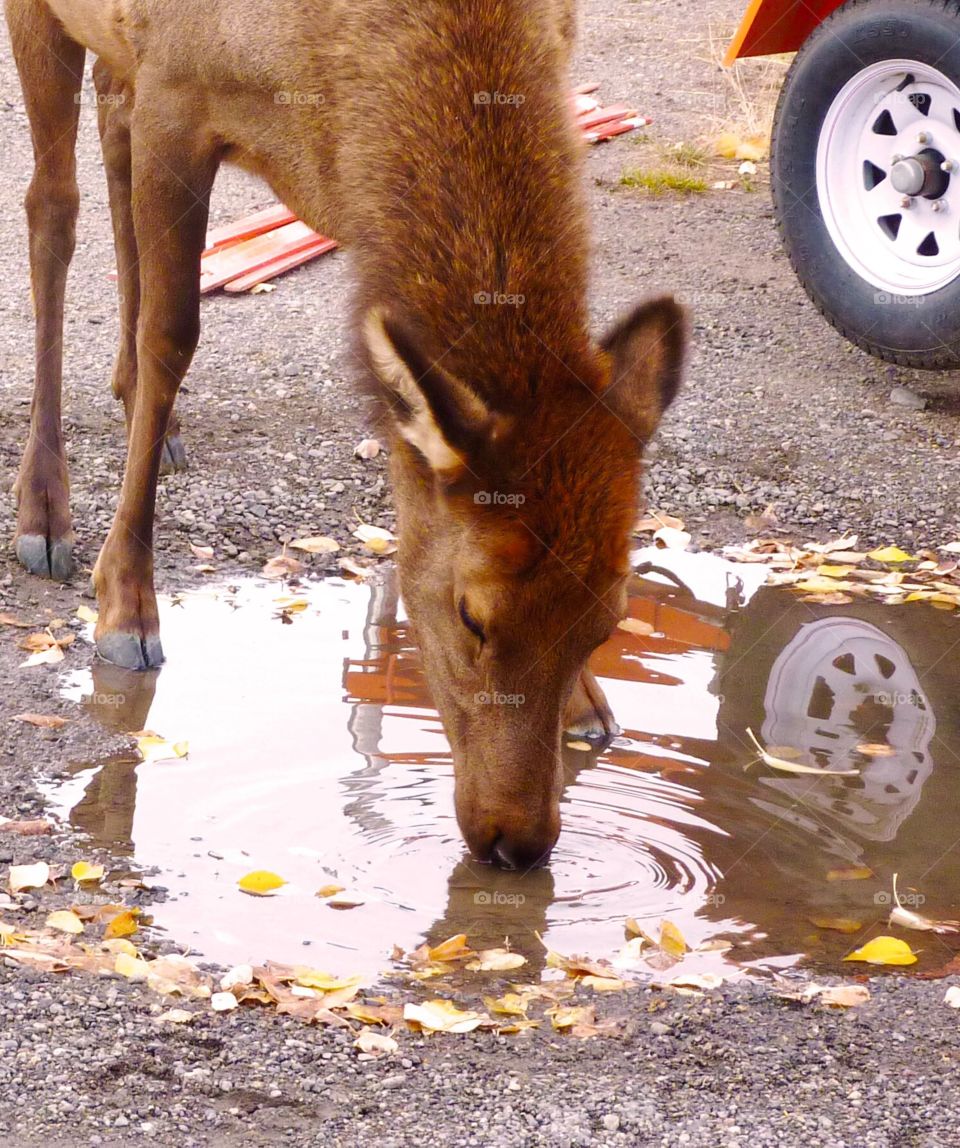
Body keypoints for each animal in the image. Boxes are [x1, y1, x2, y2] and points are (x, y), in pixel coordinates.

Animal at [5, 0, 686, 869]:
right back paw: (44, 512)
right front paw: (126, 610)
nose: (518, 842)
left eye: (607, 619)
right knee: (51, 206)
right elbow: (173, 334)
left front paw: (591, 706)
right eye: (471, 614)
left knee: (108, 128)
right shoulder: (178, 90)